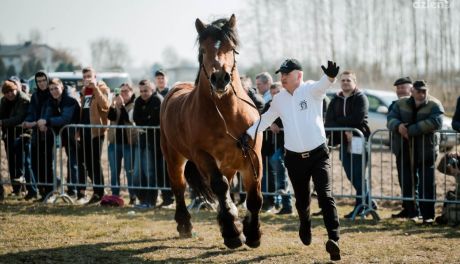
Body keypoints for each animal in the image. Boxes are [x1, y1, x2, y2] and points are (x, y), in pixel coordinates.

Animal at [160, 14, 262, 249]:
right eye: (203, 50)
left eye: (231, 48)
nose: (220, 78)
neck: (227, 114)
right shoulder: (203, 156)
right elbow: (219, 186)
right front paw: (232, 232)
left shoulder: (252, 155)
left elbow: (254, 195)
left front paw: (252, 233)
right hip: (173, 156)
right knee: (179, 187)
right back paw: (185, 225)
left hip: (229, 163)